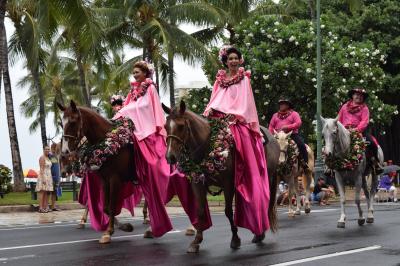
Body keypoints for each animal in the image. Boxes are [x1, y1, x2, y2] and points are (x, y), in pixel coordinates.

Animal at [57, 100, 137, 243]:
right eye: (61, 123)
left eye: (73, 121)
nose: (66, 150)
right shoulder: (104, 180)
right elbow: (104, 207)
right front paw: (123, 226)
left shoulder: (115, 180)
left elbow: (111, 206)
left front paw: (109, 232)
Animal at [162, 101, 278, 254]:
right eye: (165, 126)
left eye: (181, 126)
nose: (170, 157)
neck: (208, 146)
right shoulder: (197, 183)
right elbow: (200, 211)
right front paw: (196, 241)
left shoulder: (228, 184)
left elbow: (228, 211)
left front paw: (235, 239)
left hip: (267, 177)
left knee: (265, 201)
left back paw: (260, 233)